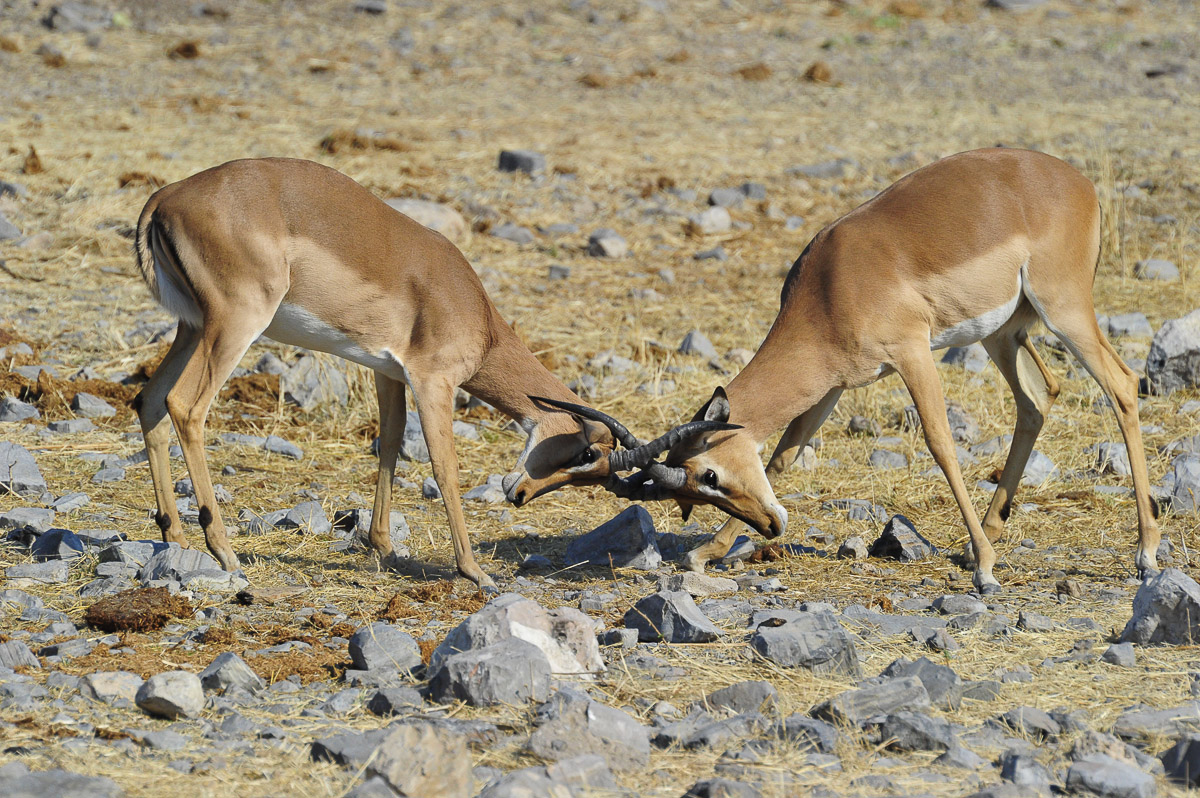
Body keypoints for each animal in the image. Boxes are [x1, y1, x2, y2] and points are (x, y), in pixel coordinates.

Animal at [131, 157, 723, 590]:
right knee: (186, 407)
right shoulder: (434, 380)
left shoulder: (388, 372)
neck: (474, 310)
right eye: (584, 454)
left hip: (192, 326)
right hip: (235, 324)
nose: (519, 496)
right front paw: (474, 571)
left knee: (150, 401)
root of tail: (168, 196)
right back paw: (224, 551)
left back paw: (175, 538)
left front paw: (386, 548)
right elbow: (444, 466)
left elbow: (390, 443)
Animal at [544, 148, 1162, 593]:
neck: (831, 285)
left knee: (1122, 386)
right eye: (693, 493)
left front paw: (988, 572)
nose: (771, 527)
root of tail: (1080, 182)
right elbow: (786, 454)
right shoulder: (833, 384)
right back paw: (982, 538)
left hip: (1063, 308)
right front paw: (704, 553)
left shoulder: (913, 353)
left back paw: (1145, 554)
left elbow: (940, 442)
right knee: (1039, 396)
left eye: (709, 476)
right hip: (1004, 332)